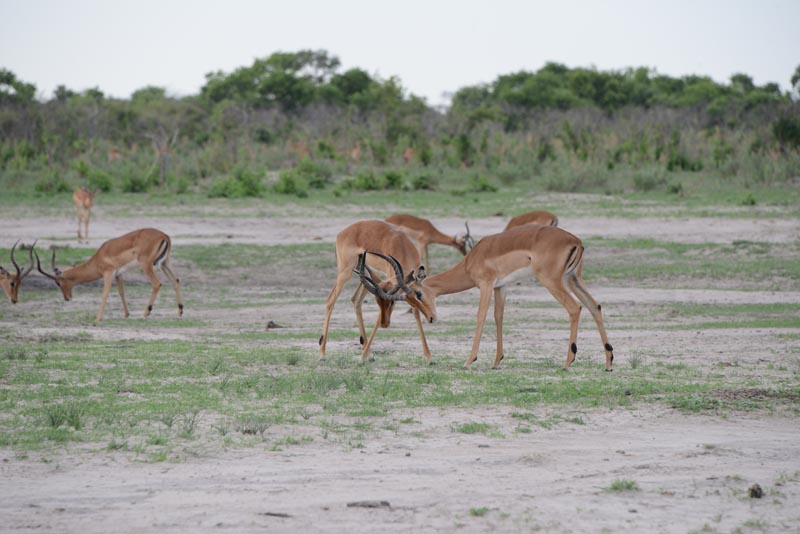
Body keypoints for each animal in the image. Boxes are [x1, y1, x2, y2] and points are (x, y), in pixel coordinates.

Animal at [33, 229, 184, 324]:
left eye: (58, 283)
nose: (67, 298)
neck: (98, 258)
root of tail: (164, 236)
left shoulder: (108, 273)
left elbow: (104, 294)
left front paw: (98, 318)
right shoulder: (119, 274)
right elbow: (121, 292)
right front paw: (126, 314)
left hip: (147, 265)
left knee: (157, 284)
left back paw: (146, 313)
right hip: (164, 263)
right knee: (176, 280)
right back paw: (180, 312)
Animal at [318, 221, 438, 364]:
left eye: (392, 302)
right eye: (379, 303)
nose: (384, 324)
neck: (401, 245)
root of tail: (342, 233)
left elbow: (415, 313)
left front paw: (429, 357)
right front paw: (361, 357)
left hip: (363, 271)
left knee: (356, 300)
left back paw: (369, 354)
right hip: (345, 271)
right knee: (330, 300)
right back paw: (323, 354)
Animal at [416, 226, 616, 372]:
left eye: (418, 294)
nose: (431, 318)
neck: (470, 261)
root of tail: (576, 241)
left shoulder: (486, 285)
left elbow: (481, 316)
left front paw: (468, 361)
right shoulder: (501, 287)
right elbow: (498, 317)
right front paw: (497, 361)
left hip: (552, 281)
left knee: (575, 308)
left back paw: (567, 362)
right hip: (573, 278)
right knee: (594, 306)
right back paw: (608, 362)